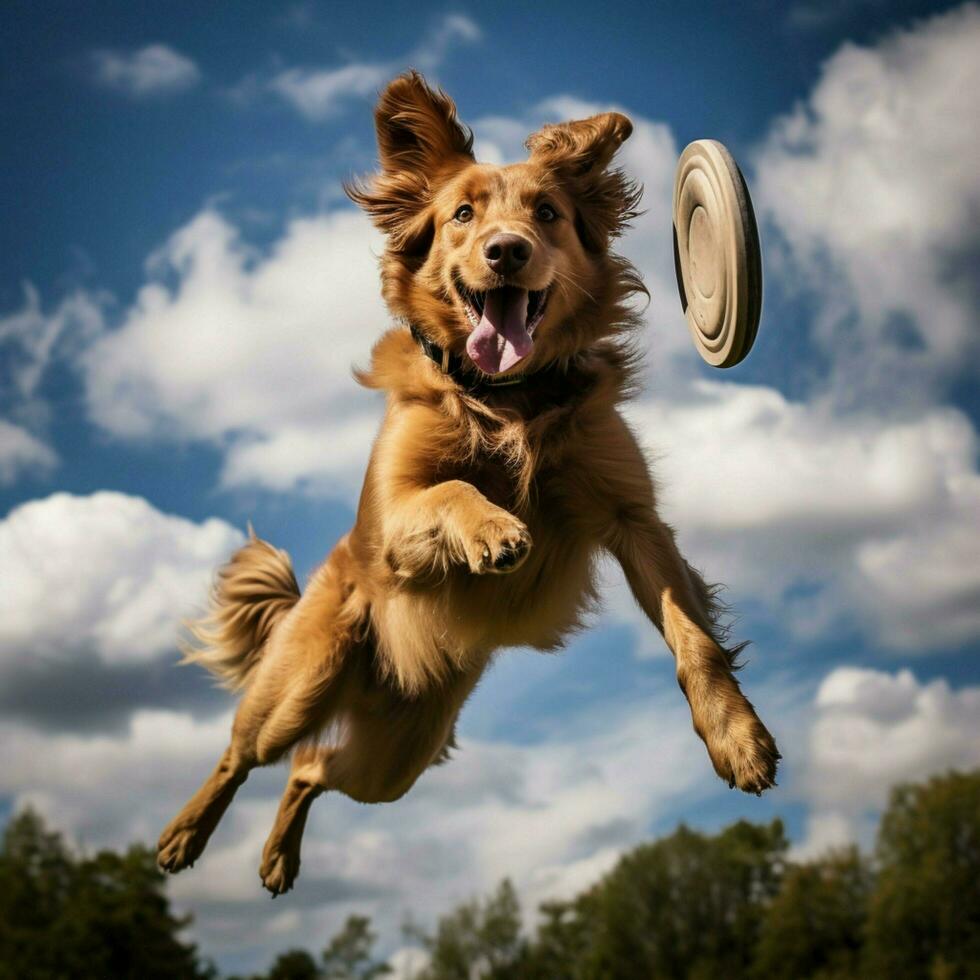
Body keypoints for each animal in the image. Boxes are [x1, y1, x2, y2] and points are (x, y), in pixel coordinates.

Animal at [155, 71, 780, 896]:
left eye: (547, 213)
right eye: (461, 214)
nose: (506, 250)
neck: (509, 398)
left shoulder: (632, 516)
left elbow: (695, 638)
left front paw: (736, 736)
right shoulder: (392, 515)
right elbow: (450, 491)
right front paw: (494, 529)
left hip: (400, 754)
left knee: (311, 769)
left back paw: (278, 856)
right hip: (303, 681)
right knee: (246, 752)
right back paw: (183, 835)